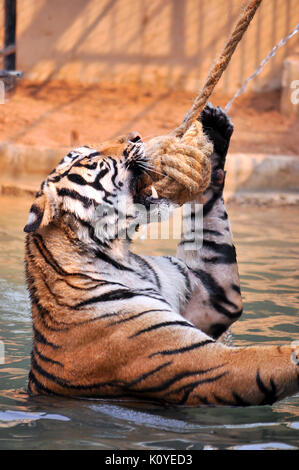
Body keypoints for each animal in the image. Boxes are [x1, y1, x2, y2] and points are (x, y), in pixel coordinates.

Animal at [24, 104, 299, 406]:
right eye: (91, 156)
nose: (136, 135)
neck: (121, 255)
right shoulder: (201, 359)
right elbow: (268, 360)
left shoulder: (209, 296)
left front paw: (216, 128)